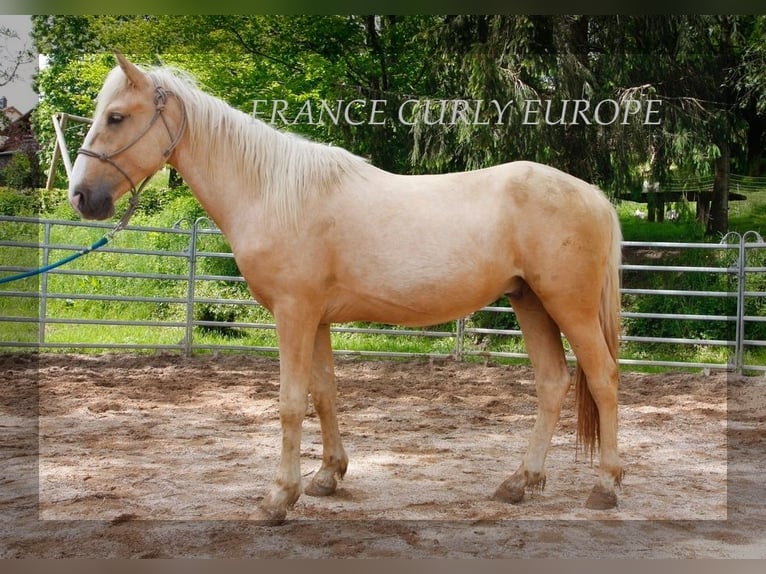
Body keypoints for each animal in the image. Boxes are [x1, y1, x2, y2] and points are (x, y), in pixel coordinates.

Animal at [70, 53, 624, 520]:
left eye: (116, 117)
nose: (80, 196)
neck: (273, 192)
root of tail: (594, 196)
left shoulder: (293, 314)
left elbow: (290, 403)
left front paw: (279, 497)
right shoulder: (315, 320)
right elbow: (324, 394)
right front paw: (326, 477)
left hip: (568, 307)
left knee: (603, 379)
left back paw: (605, 487)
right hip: (530, 302)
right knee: (552, 384)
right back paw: (519, 482)